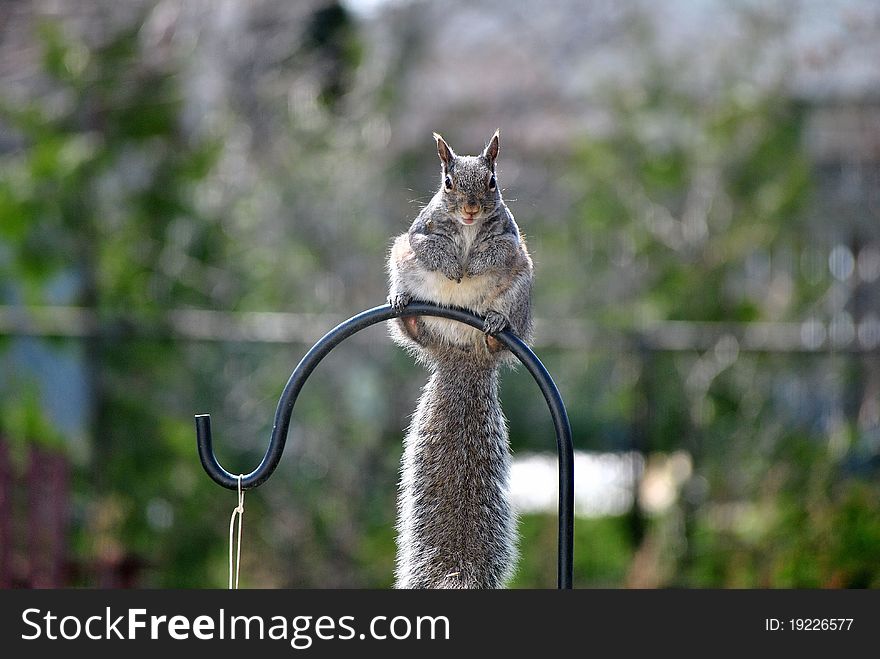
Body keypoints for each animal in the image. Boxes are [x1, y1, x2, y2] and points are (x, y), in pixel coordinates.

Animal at [384, 129, 528, 588]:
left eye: (492, 182)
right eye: (447, 183)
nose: (469, 210)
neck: (466, 234)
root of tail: (461, 353)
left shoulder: (510, 240)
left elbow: (497, 249)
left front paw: (474, 265)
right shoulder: (419, 234)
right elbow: (429, 245)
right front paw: (452, 267)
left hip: (521, 288)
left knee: (502, 328)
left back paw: (497, 328)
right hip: (401, 263)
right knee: (414, 328)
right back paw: (406, 311)